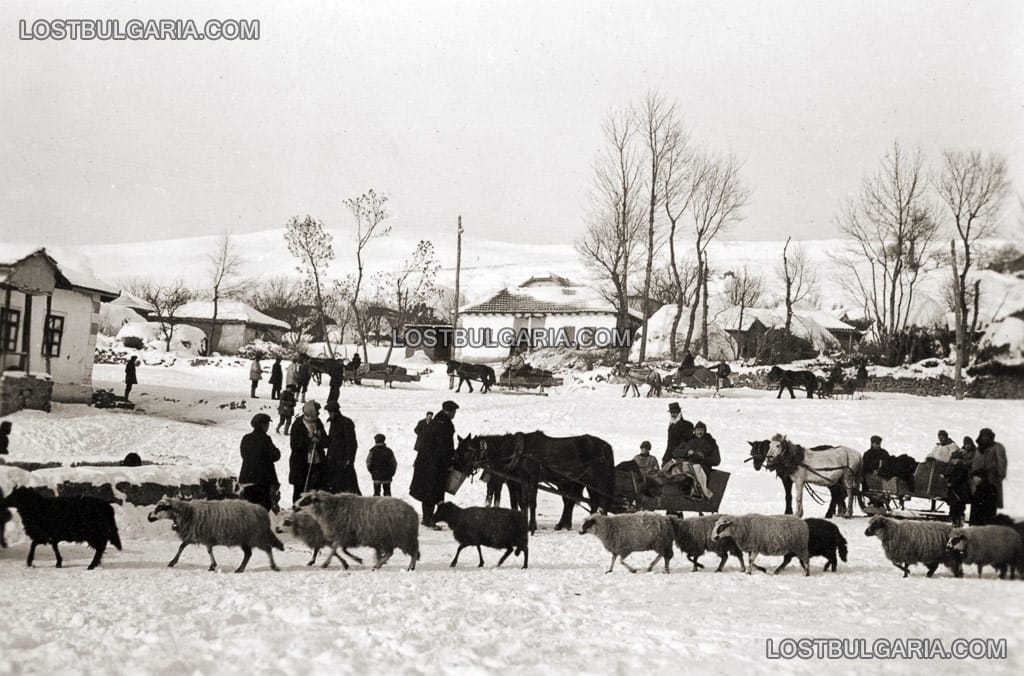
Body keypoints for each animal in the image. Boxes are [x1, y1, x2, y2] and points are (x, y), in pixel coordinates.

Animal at [148, 493, 284, 573]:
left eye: (160, 507)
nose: (149, 517)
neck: (188, 513)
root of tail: (262, 512)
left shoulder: (202, 535)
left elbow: (205, 550)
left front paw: (212, 565)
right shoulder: (195, 535)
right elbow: (183, 546)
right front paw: (173, 561)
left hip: (256, 536)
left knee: (268, 549)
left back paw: (274, 566)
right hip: (246, 539)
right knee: (248, 554)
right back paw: (240, 569)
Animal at [456, 432, 614, 532]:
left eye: (467, 450)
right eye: (458, 448)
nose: (456, 465)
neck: (518, 451)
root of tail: (606, 446)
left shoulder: (532, 479)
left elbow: (531, 503)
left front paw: (532, 526)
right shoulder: (522, 481)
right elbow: (522, 503)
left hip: (596, 480)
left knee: (599, 502)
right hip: (583, 482)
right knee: (585, 502)